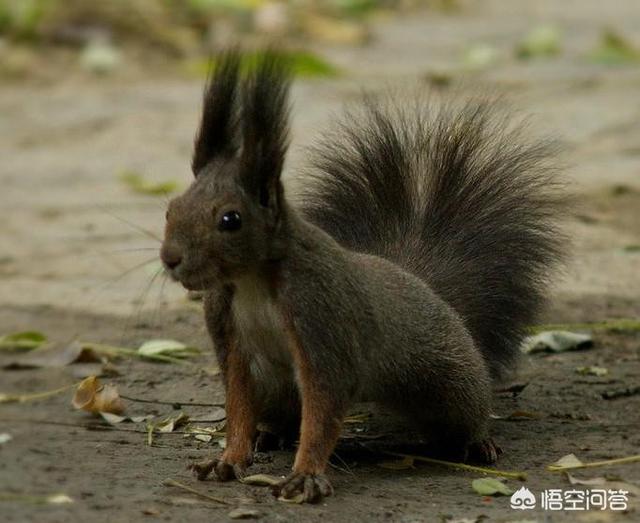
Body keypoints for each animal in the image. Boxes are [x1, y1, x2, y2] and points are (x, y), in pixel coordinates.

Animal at [160, 52, 564, 504]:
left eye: (230, 220)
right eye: (171, 208)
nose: (171, 259)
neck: (253, 281)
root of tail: (424, 286)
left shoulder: (324, 321)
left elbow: (322, 411)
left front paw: (305, 475)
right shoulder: (229, 337)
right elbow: (239, 403)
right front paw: (229, 459)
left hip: (448, 382)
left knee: (467, 411)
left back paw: (478, 443)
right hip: (277, 389)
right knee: (281, 414)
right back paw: (271, 434)